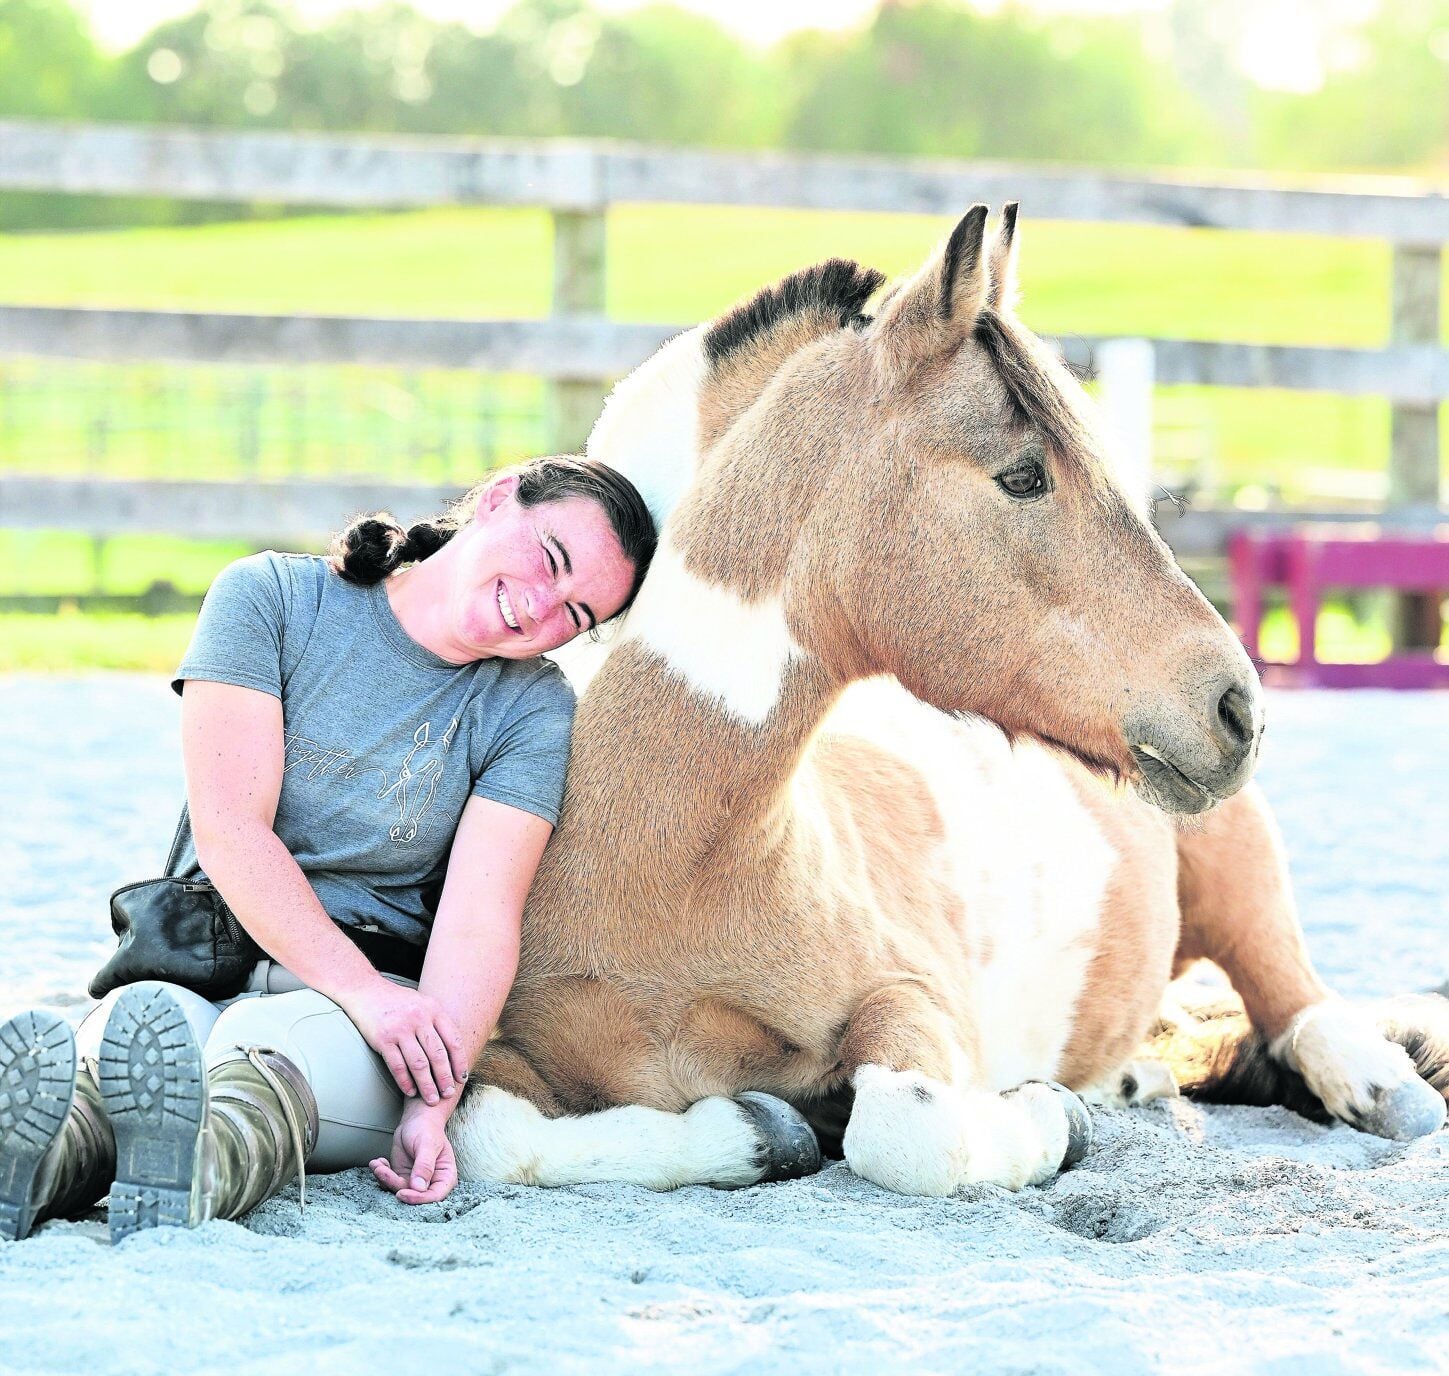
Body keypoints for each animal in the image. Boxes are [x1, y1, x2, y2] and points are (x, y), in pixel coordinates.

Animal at [446, 205, 1449, 1196]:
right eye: (1024, 475)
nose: (1237, 706)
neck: (674, 863)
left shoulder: (912, 1001)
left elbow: (904, 1126)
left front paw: (1050, 1118)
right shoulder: (490, 1053)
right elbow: (491, 1136)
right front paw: (760, 1133)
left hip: (1239, 866)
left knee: (1299, 1000)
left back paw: (1375, 1086)